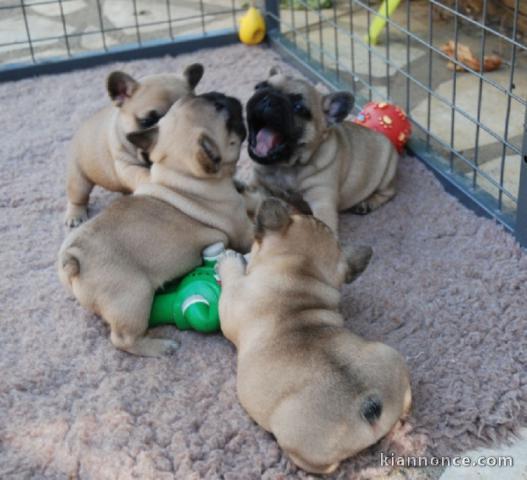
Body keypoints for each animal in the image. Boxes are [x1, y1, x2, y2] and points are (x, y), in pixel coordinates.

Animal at [58, 93, 253, 356]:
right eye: (221, 109)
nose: (224, 95)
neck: (181, 177)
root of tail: (74, 257)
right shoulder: (242, 228)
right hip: (133, 297)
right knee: (122, 339)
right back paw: (160, 346)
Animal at [65, 63, 204, 227]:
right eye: (147, 121)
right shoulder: (126, 166)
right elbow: (144, 175)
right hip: (79, 178)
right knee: (78, 196)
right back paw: (75, 215)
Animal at [218, 198, 412, 472]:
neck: (298, 272)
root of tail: (369, 405)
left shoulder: (232, 299)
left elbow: (232, 278)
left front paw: (229, 260)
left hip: (297, 442)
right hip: (389, 355)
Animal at [243, 67, 400, 234]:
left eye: (299, 108)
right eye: (259, 87)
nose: (268, 98)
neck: (285, 166)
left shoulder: (322, 199)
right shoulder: (256, 182)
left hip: (387, 171)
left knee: (388, 193)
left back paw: (368, 203)